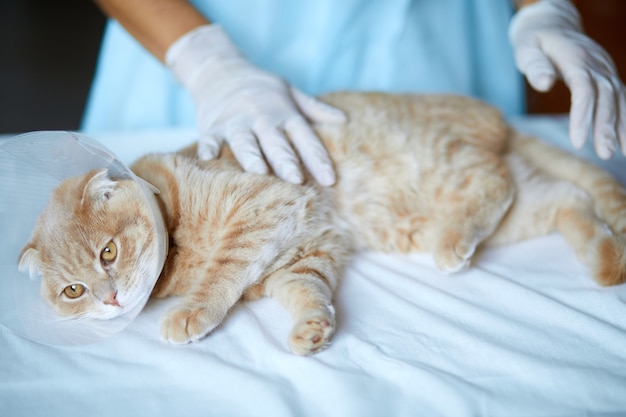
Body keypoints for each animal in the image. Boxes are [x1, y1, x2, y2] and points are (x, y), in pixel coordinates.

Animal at [18, 92, 624, 354]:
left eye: (108, 253)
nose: (111, 298)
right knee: (565, 196)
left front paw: (194, 312)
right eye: (74, 291)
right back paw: (604, 259)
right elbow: (309, 293)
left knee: (497, 184)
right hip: (495, 212)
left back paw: (456, 242)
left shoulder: (263, 207)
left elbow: (222, 272)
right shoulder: (302, 258)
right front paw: (313, 329)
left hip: (445, 169)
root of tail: (500, 120)